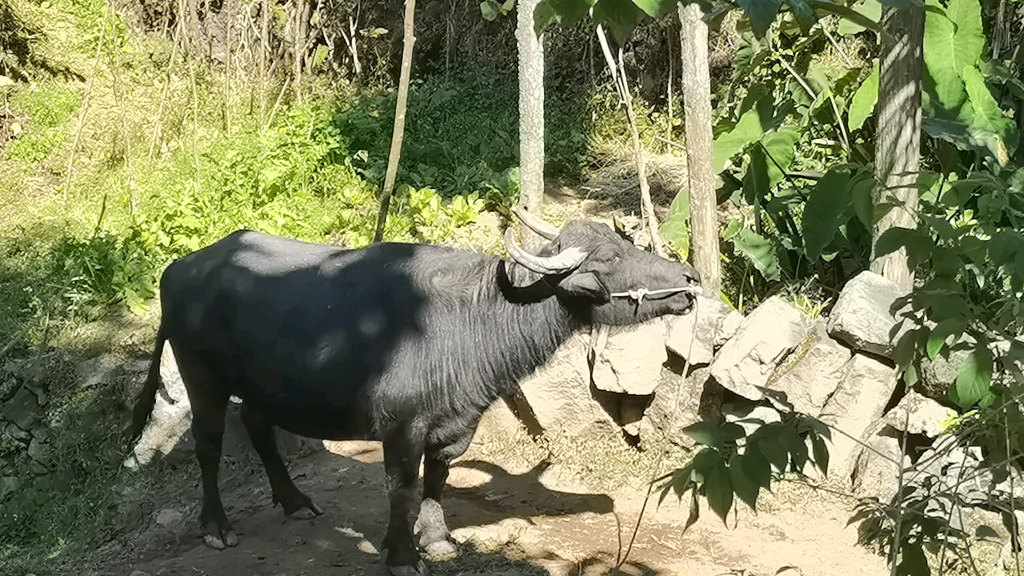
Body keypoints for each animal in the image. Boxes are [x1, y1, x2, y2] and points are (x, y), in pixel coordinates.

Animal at [128, 207, 700, 573]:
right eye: (609, 262)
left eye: (626, 244)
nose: (692, 277)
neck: (470, 318)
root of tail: (179, 268)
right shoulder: (401, 428)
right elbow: (400, 487)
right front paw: (402, 553)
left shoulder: (455, 423)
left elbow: (437, 479)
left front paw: (438, 538)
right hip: (202, 378)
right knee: (207, 444)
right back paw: (216, 526)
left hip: (263, 385)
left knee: (256, 425)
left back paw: (295, 501)